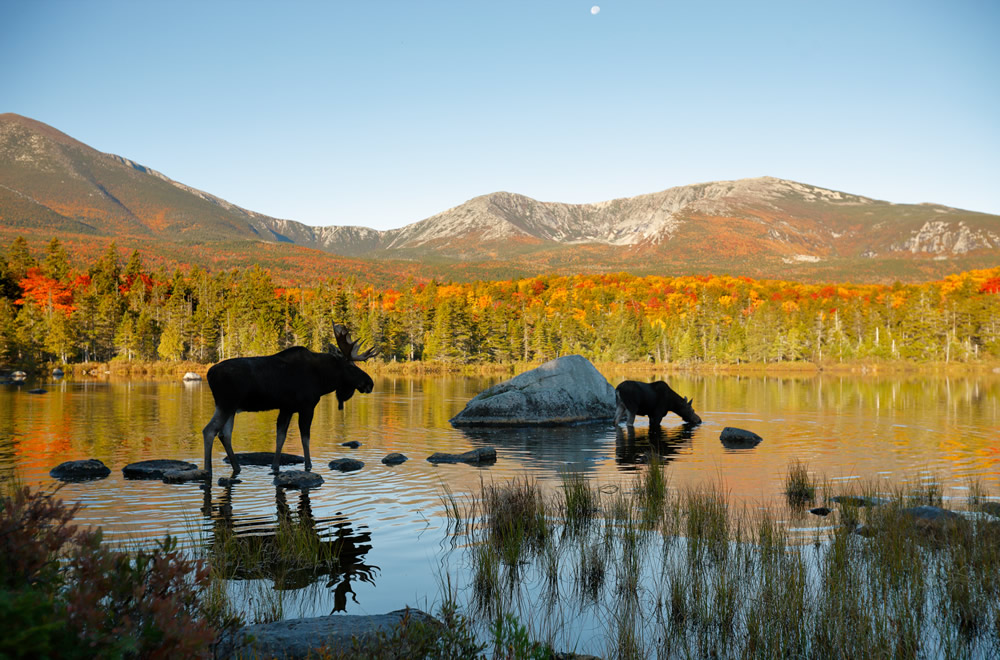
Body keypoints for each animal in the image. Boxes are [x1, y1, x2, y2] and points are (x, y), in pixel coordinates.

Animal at [201, 324, 376, 474]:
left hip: (231, 408)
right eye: (351, 367)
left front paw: (275, 466)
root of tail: (209, 374)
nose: (370, 383)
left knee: (224, 434)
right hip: (226, 404)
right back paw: (208, 469)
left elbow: (280, 437)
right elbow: (305, 438)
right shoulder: (307, 407)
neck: (323, 380)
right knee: (209, 430)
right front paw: (308, 465)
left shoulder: (287, 408)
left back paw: (236, 467)